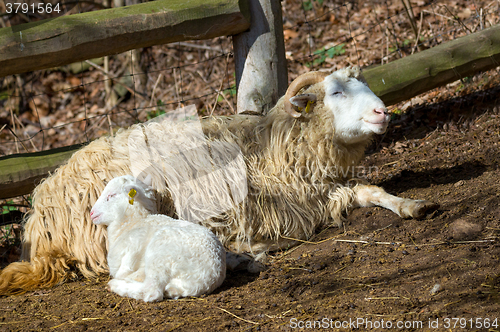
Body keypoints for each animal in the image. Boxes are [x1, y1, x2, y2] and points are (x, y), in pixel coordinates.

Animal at [90, 175, 227, 302]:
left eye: (111, 195)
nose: (91, 213)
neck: (134, 221)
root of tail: (210, 275)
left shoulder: (131, 250)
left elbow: (123, 272)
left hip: (161, 253)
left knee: (152, 291)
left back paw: (116, 285)